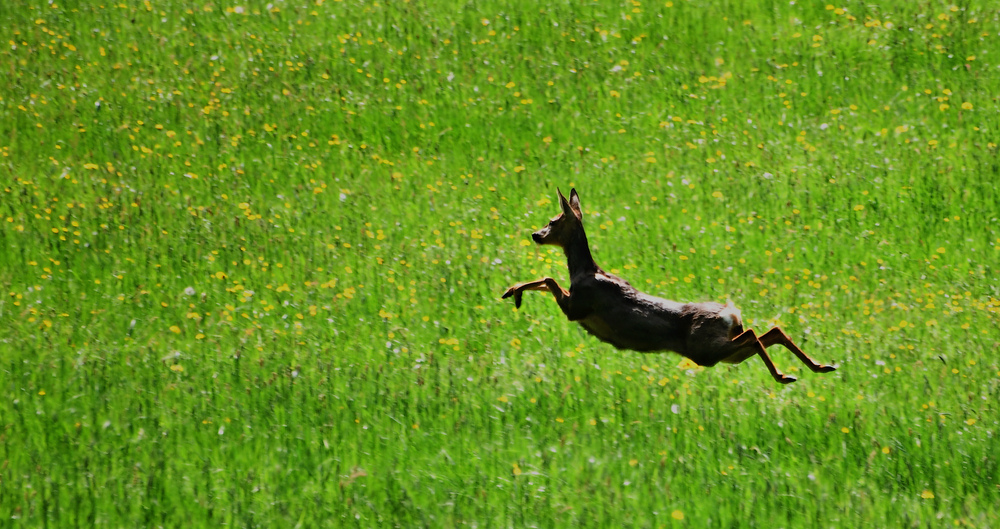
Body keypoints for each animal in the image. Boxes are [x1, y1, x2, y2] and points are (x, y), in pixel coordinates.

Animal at [500, 190, 836, 384]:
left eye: (553, 221)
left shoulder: (577, 306)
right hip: (722, 352)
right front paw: (512, 292)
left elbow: (548, 279)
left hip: (705, 349)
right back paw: (820, 367)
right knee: (770, 332)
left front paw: (512, 292)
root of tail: (731, 313)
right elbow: (547, 281)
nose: (535, 235)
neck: (584, 271)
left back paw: (784, 375)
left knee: (756, 334)